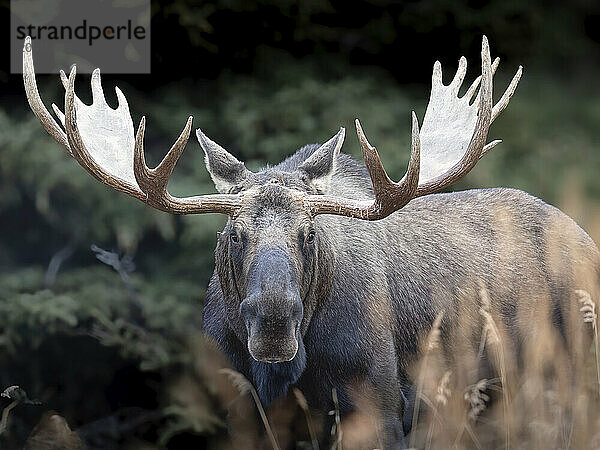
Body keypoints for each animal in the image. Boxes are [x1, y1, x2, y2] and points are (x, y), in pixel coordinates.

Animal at [23, 37, 600, 448]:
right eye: (235, 234)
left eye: (309, 233)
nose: (274, 322)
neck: (289, 375)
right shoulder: (248, 413)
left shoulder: (382, 405)